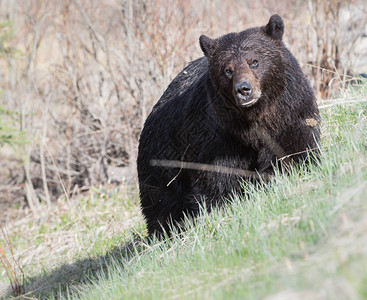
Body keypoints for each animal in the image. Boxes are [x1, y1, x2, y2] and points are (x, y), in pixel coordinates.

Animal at [137, 15, 320, 238]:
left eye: (254, 61)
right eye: (227, 70)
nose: (243, 89)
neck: (252, 123)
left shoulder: (290, 115)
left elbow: (294, 150)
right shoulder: (217, 138)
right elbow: (217, 180)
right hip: (161, 159)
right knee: (162, 202)